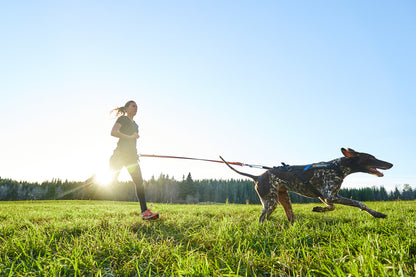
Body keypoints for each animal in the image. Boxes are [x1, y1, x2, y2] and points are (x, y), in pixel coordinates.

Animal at [221, 147, 394, 222]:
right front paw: (376, 214)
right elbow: (359, 203)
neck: (337, 167)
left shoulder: (326, 196)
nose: (391, 164)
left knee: (289, 217)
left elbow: (331, 207)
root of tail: (256, 176)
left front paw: (318, 209)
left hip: (283, 199)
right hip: (271, 202)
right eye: (371, 158)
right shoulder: (330, 195)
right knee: (262, 219)